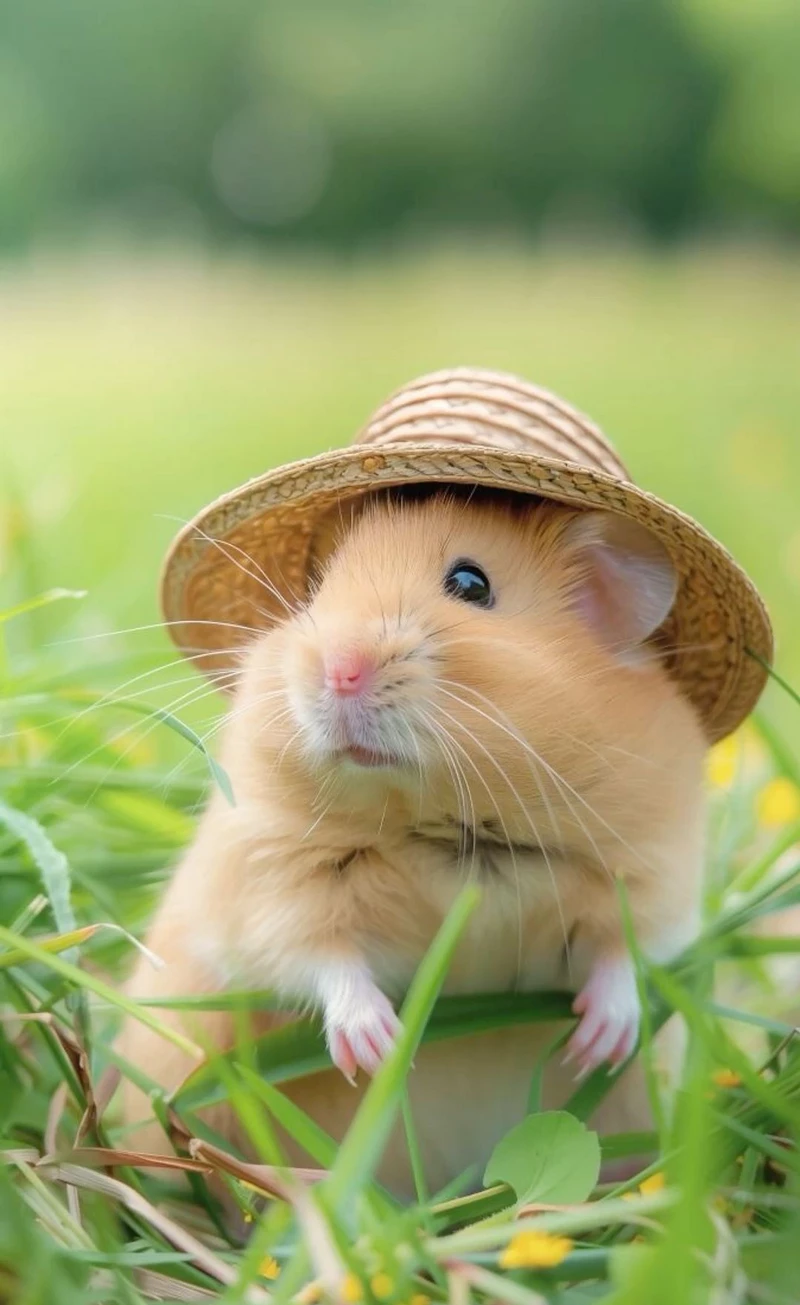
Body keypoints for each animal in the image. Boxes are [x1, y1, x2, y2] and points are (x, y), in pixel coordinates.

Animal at [119, 487, 706, 1197]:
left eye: (471, 584)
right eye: (315, 588)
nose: (339, 671)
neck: (450, 824)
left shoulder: (656, 872)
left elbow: (625, 948)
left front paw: (598, 1042)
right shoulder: (269, 884)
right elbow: (320, 954)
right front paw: (380, 1048)